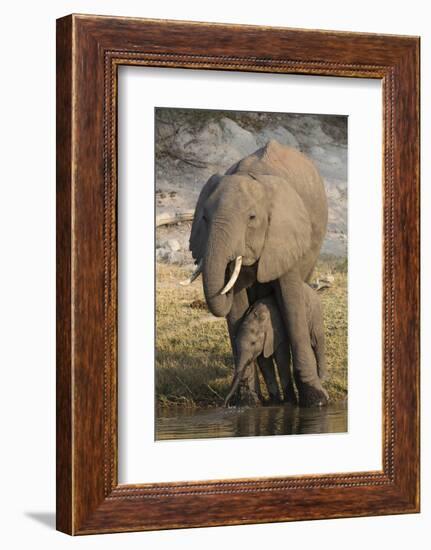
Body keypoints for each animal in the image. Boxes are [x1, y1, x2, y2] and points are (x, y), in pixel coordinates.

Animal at [188, 141, 328, 410]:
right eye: (204, 218)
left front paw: (315, 401)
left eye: (252, 218)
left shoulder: (285, 235)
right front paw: (248, 402)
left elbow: (291, 301)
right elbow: (236, 307)